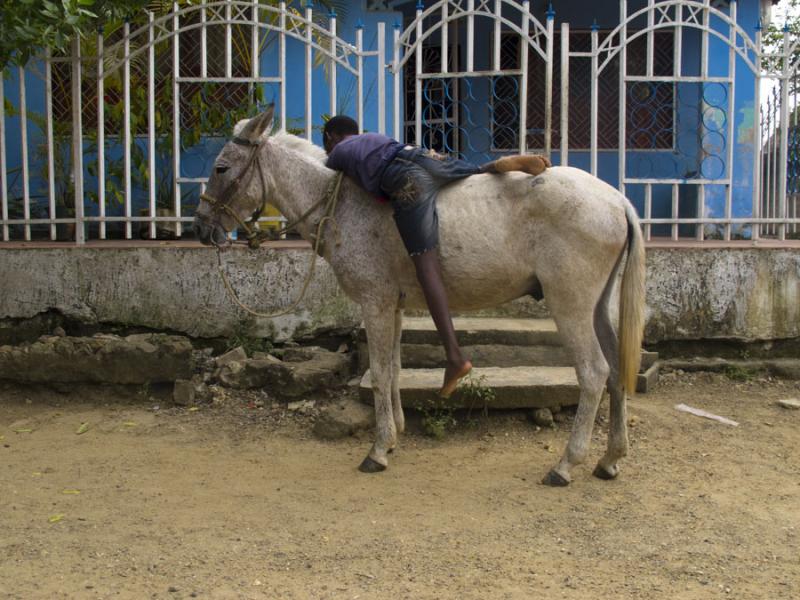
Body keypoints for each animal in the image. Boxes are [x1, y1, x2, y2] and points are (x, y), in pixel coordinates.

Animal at [192, 105, 644, 486]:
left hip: (569, 305)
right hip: (598, 307)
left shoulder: (373, 304)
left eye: (221, 167)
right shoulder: (391, 306)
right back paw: (610, 459)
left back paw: (566, 464)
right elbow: (392, 370)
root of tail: (617, 199)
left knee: (594, 374)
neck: (341, 202)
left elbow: (378, 375)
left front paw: (377, 450)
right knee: (616, 371)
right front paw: (394, 435)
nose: (200, 228)